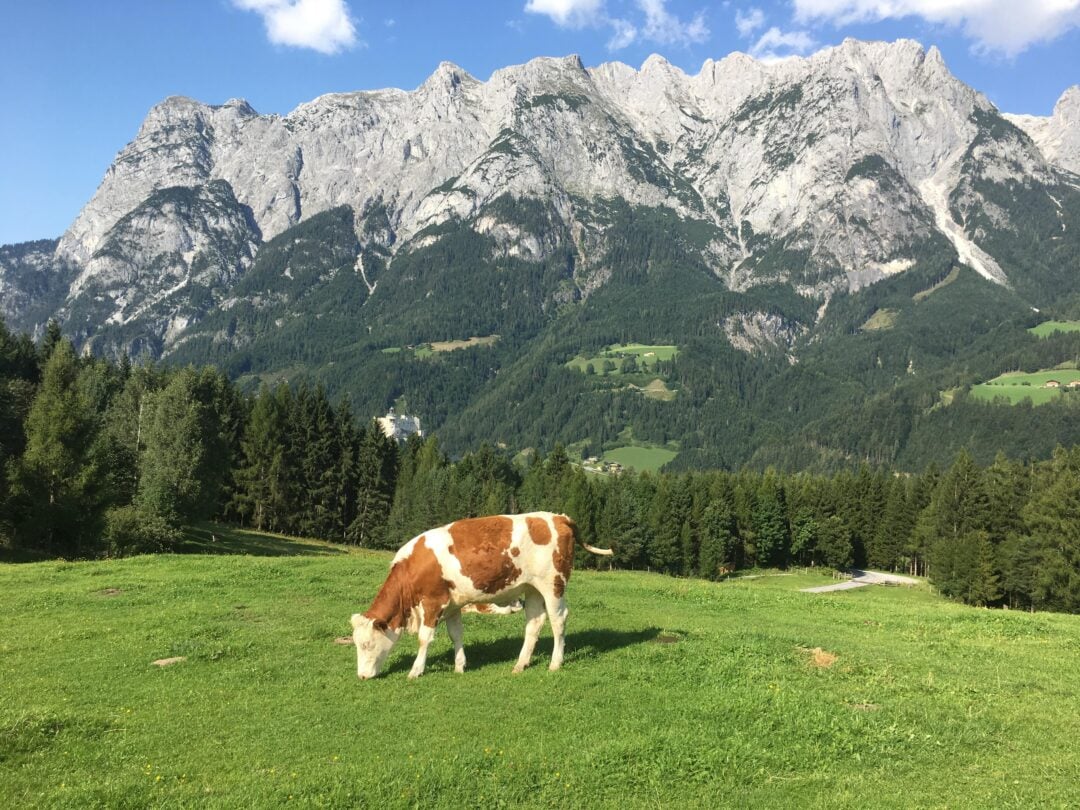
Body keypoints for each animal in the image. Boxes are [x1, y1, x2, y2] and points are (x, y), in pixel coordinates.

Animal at [350, 512, 613, 679]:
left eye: (366, 644)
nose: (361, 676)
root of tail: (560, 517)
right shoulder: (453, 604)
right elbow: (456, 634)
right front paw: (459, 666)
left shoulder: (433, 601)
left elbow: (425, 638)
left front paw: (416, 671)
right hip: (532, 588)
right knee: (534, 623)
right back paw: (521, 664)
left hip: (553, 584)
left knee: (559, 620)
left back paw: (555, 663)